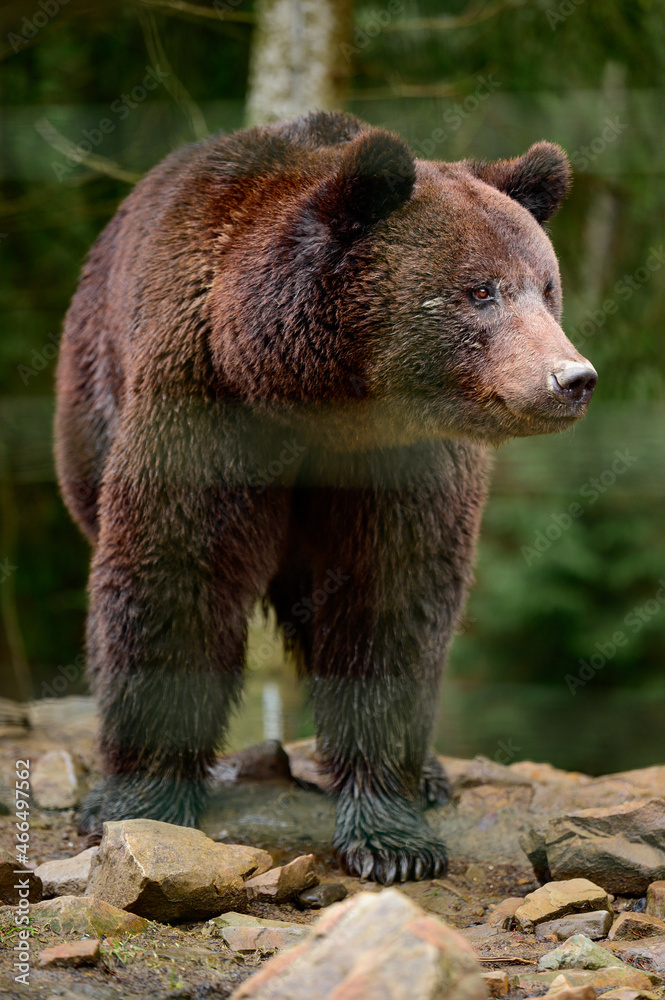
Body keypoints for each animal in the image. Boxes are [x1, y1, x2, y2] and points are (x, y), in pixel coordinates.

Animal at [55, 110, 597, 885]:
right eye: (479, 291)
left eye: (546, 287)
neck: (315, 397)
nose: (570, 378)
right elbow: (174, 576)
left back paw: (431, 775)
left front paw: (393, 841)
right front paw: (142, 800)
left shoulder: (399, 462)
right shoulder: (205, 402)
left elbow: (388, 605)